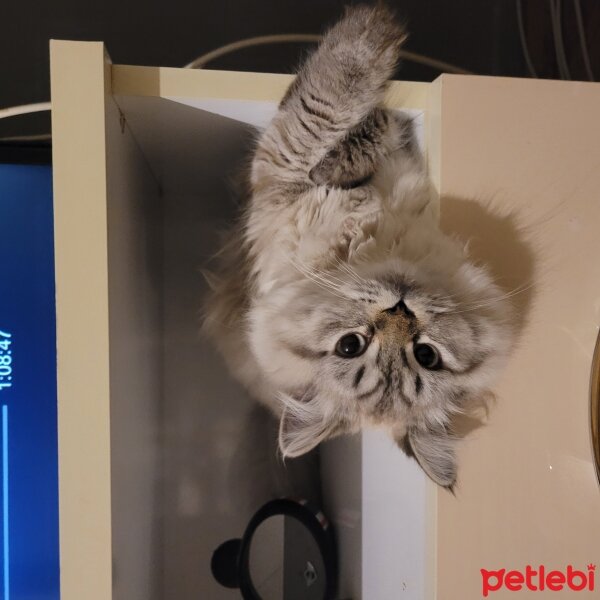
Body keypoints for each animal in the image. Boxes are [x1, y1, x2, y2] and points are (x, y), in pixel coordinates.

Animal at [204, 3, 512, 488]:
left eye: (425, 355)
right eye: (350, 346)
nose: (399, 311)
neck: (375, 240)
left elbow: (341, 106)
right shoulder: (290, 175)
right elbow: (343, 111)